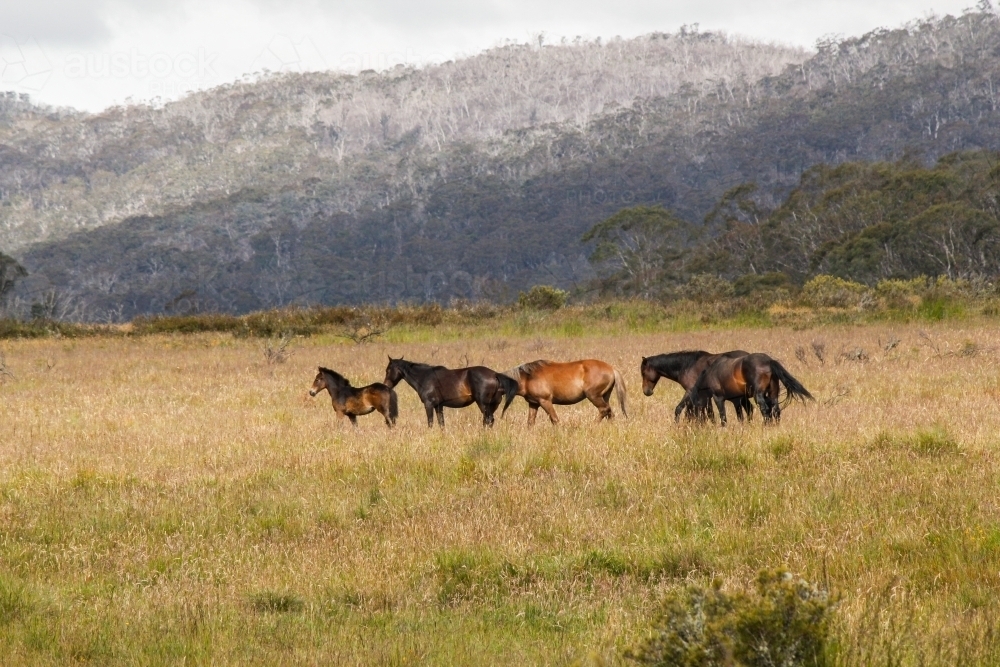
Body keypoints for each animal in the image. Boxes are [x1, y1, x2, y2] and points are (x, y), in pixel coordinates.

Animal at [383, 357, 519, 427]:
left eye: (388, 370)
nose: (386, 385)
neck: (425, 377)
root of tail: (495, 374)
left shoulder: (429, 405)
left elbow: (430, 423)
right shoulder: (439, 406)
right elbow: (441, 423)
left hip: (483, 404)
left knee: (488, 420)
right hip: (493, 405)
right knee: (489, 421)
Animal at [682, 353, 813, 425]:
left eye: (691, 410)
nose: (695, 425)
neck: (710, 374)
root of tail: (768, 361)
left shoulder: (718, 398)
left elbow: (723, 416)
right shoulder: (737, 399)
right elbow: (741, 416)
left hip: (758, 395)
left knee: (765, 409)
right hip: (772, 393)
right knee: (776, 410)